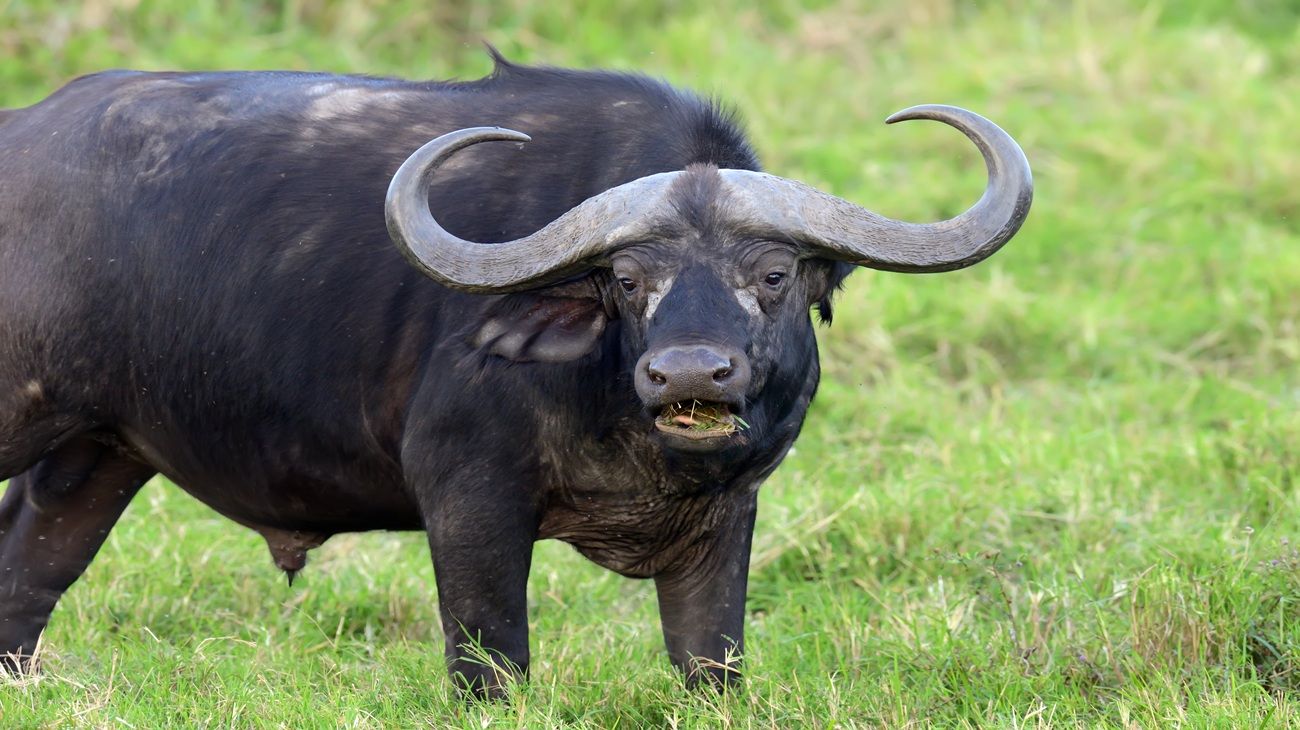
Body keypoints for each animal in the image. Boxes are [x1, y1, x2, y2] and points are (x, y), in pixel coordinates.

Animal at [0, 53, 1031, 695]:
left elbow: (712, 664)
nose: (688, 375)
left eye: (774, 274)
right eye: (627, 279)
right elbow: (491, 664)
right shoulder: (469, 501)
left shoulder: (727, 520)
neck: (631, 437)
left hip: (96, 454)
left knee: (25, 574)